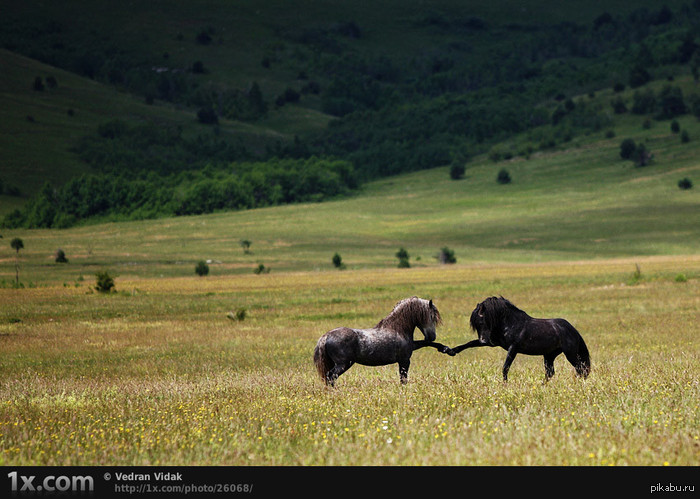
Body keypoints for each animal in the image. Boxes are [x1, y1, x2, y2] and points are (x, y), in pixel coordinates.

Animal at [313, 296, 451, 386]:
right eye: (432, 316)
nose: (432, 336)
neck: (397, 328)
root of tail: (326, 336)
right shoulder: (404, 360)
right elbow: (403, 379)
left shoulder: (411, 348)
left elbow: (425, 344)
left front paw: (447, 349)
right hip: (343, 364)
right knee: (330, 377)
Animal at [448, 296, 591, 381]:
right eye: (476, 325)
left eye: (483, 321)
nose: (483, 340)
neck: (510, 323)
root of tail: (573, 330)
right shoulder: (494, 343)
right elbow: (470, 343)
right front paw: (451, 351)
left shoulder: (513, 348)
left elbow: (505, 367)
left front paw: (505, 385)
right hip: (549, 355)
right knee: (550, 373)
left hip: (570, 354)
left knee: (581, 369)